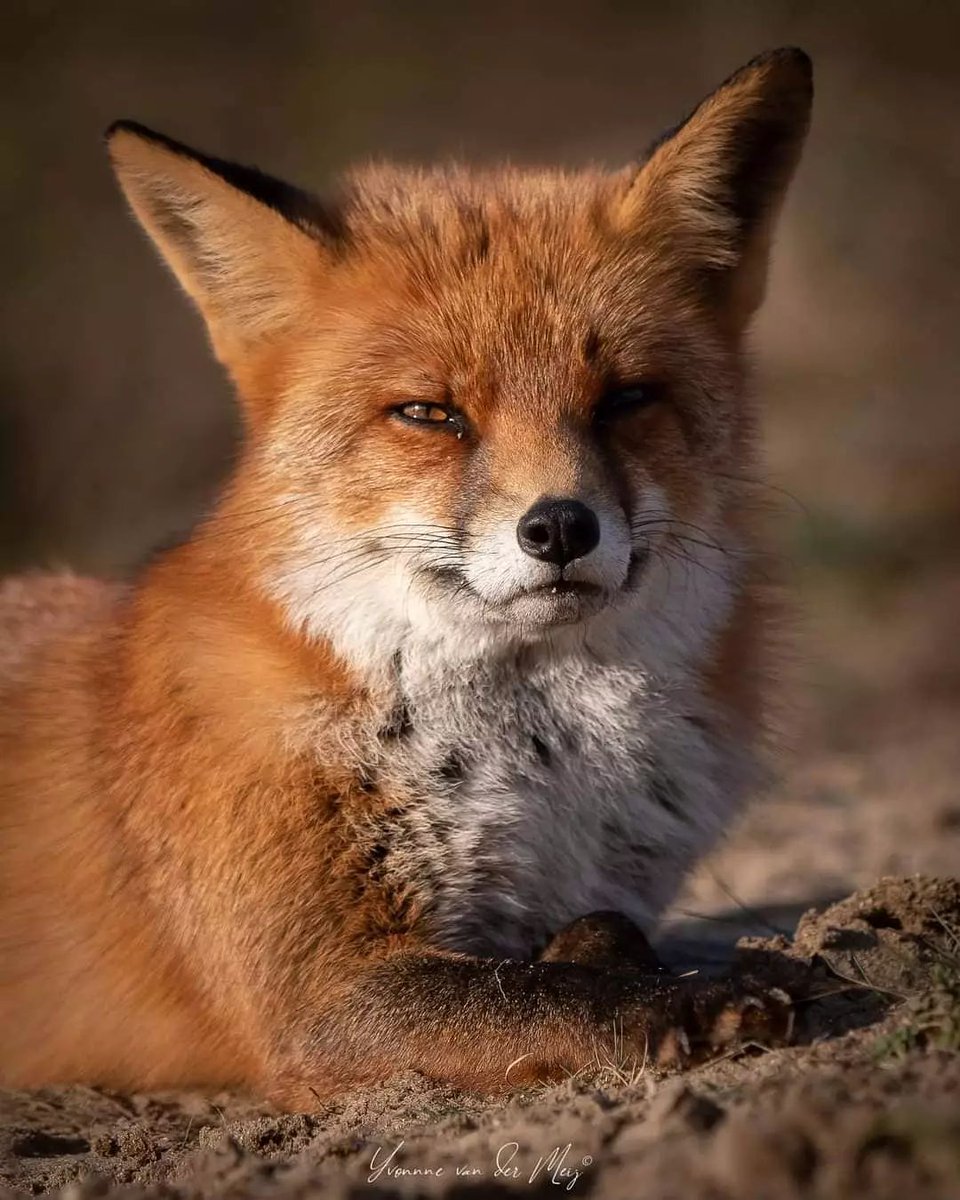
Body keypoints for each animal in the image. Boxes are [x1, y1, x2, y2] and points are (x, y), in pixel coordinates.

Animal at [0, 49, 811, 1108]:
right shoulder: (318, 998)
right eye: (430, 413)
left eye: (626, 399)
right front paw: (675, 1002)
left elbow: (583, 938)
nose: (560, 525)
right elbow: (530, 996)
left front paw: (620, 962)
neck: (535, 764)